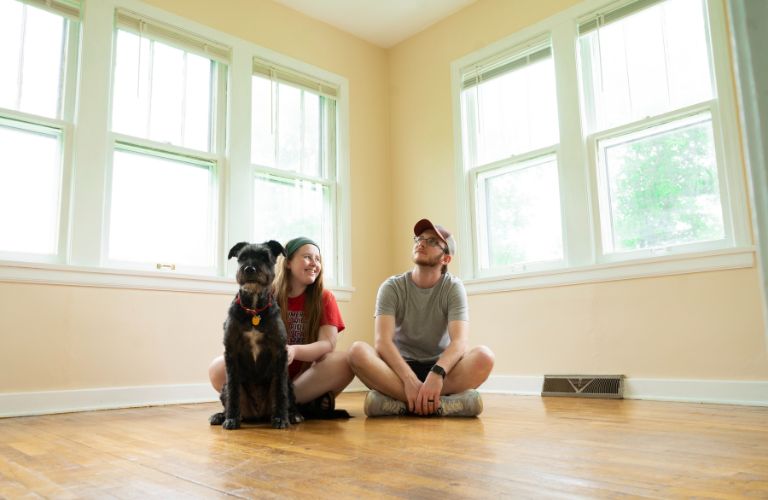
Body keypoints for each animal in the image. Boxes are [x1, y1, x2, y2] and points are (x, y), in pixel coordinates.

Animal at [212, 240, 304, 428]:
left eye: (264, 256)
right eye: (242, 257)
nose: (249, 269)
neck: (254, 310)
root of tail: (258, 414)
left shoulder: (280, 352)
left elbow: (280, 391)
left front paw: (281, 418)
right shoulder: (231, 353)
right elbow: (233, 390)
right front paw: (231, 418)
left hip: (289, 384)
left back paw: (293, 415)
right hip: (225, 389)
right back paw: (221, 415)